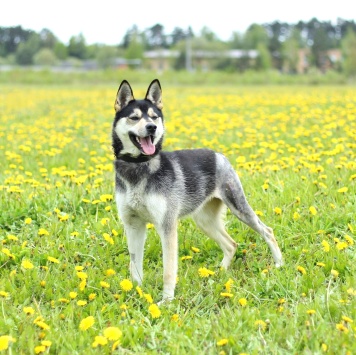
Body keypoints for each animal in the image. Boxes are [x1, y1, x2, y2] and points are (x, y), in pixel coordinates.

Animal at [112, 79, 284, 302]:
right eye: (134, 117)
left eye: (154, 116)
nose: (152, 127)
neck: (138, 167)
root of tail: (218, 154)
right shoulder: (133, 224)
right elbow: (135, 265)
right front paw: (135, 291)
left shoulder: (167, 226)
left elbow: (169, 270)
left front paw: (166, 300)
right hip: (204, 220)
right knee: (231, 244)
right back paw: (220, 272)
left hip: (238, 206)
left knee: (267, 231)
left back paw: (278, 263)